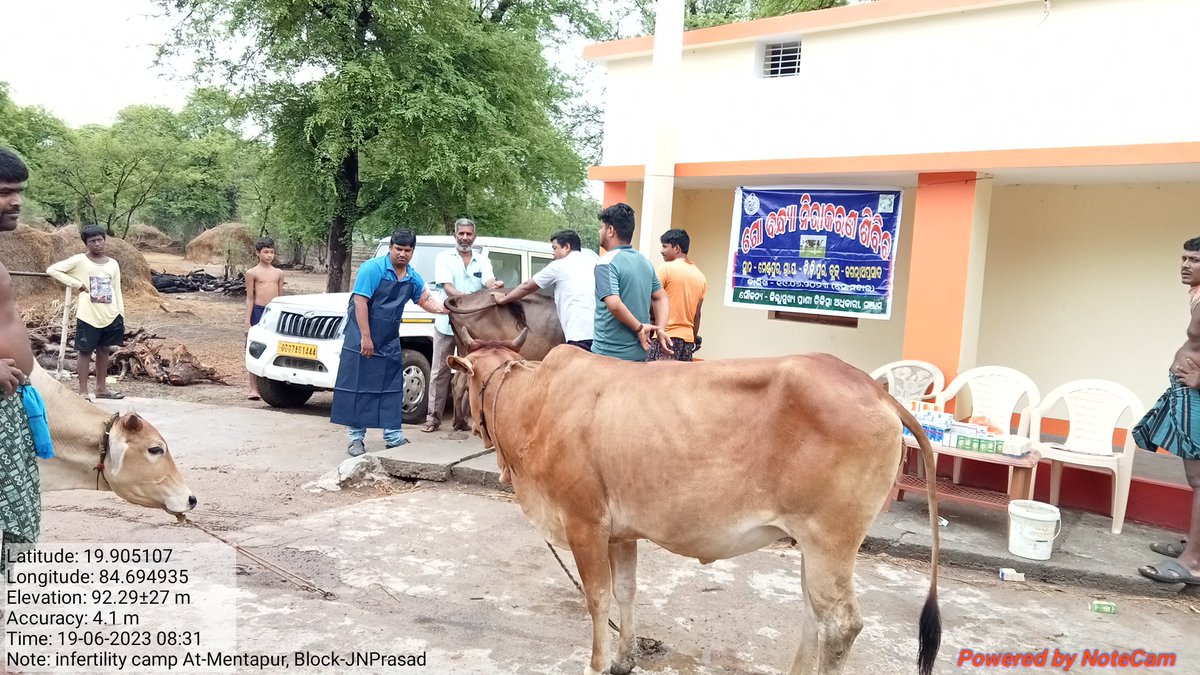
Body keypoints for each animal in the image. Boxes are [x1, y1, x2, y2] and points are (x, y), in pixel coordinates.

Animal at [448, 331, 936, 672]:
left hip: (830, 542)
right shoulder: (619, 532)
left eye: (459, 379)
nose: (465, 422)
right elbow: (626, 591)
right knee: (813, 615)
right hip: (813, 547)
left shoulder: (583, 523)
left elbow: (597, 598)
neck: (535, 404)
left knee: (840, 625)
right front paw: (624, 659)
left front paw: (597, 664)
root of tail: (875, 389)